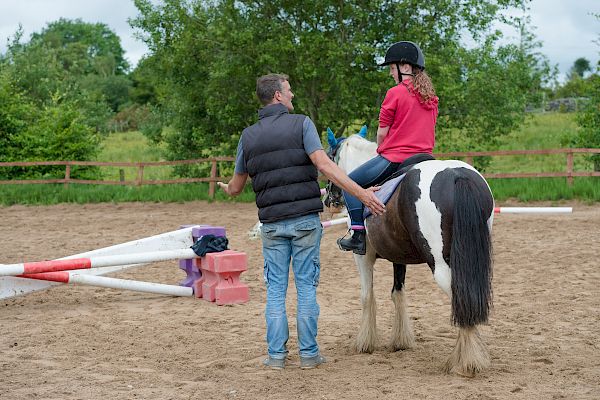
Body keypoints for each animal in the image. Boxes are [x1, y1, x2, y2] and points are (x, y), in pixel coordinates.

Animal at [326, 130, 494, 376]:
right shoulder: (398, 255)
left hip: (441, 264)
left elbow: (367, 296)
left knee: (461, 299)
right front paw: (401, 341)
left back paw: (466, 362)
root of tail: (456, 176)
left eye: (331, 158)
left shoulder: (362, 257)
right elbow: (398, 293)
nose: (328, 200)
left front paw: (365, 343)